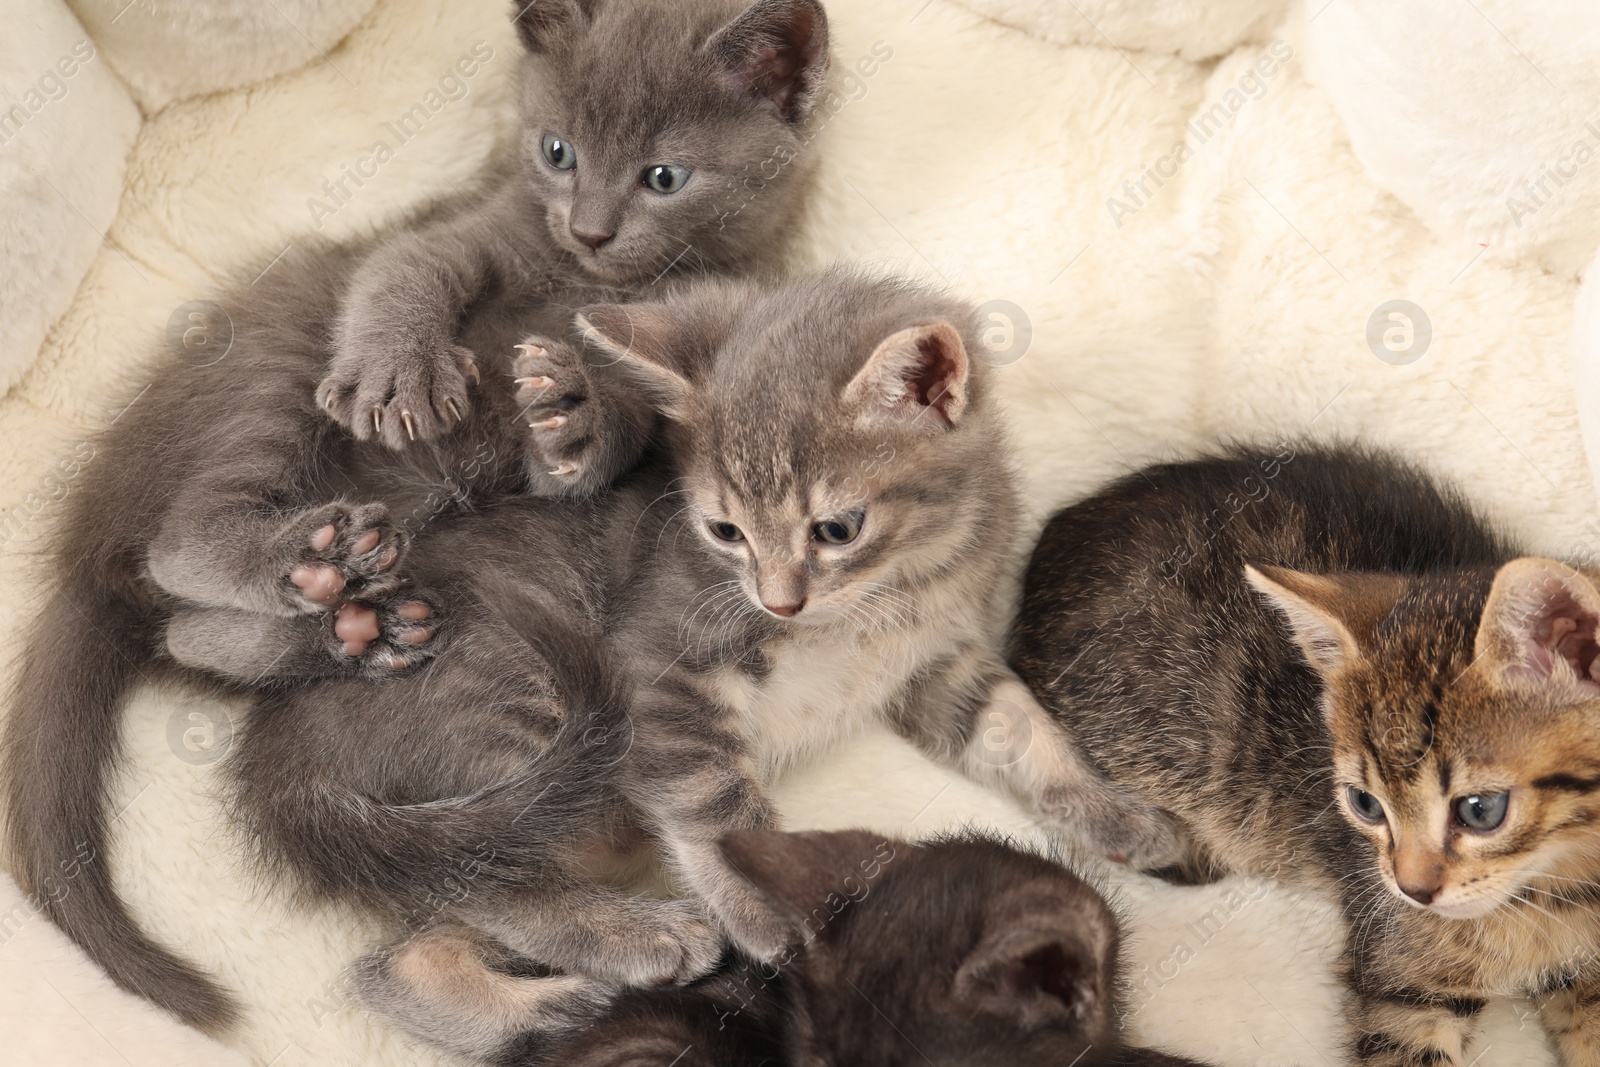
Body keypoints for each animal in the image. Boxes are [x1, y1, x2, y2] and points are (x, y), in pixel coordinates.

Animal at [9, 0, 838, 1036]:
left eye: (663, 176)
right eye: (557, 151)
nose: (589, 229)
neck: (594, 282)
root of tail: (84, 543)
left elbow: (599, 445)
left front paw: (573, 415)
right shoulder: (469, 229)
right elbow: (408, 264)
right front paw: (397, 365)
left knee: (193, 635)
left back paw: (352, 624)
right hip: (276, 368)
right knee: (180, 551)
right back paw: (313, 567)